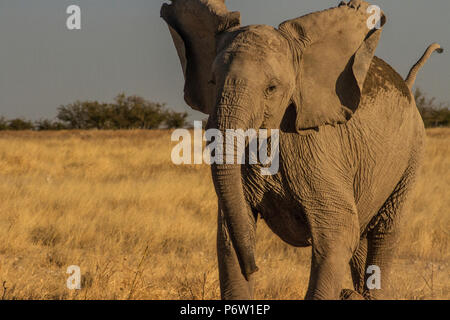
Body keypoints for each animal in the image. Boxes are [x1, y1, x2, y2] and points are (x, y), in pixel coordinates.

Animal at [161, 0, 442, 300]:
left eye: (271, 88)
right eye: (212, 82)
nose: (254, 267)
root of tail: (407, 87)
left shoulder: (316, 150)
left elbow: (339, 230)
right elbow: (230, 235)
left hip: (412, 153)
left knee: (384, 230)